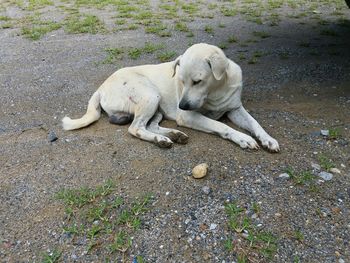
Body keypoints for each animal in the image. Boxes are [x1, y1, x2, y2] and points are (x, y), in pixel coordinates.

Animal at [62, 43, 278, 152]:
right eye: (181, 80)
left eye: (197, 81)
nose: (182, 105)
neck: (215, 91)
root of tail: (101, 87)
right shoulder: (188, 116)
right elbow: (221, 126)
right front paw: (243, 138)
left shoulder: (235, 109)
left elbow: (255, 123)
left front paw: (267, 139)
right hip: (150, 95)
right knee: (135, 128)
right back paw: (161, 140)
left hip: (157, 107)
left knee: (150, 125)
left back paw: (173, 135)